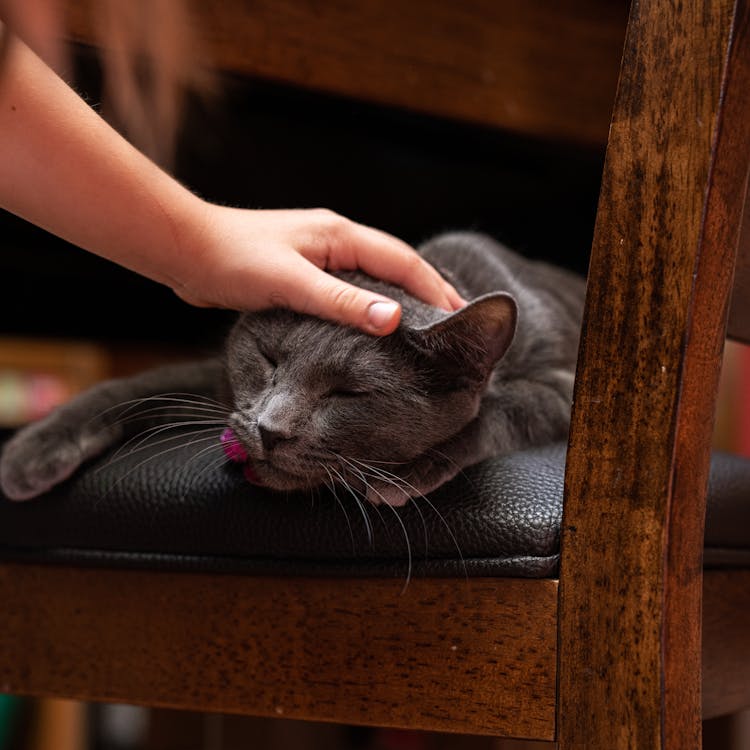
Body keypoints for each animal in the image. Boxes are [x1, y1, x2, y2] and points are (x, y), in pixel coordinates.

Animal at [0, 232, 588, 508]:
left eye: (348, 394)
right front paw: (30, 452)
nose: (269, 429)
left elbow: (499, 411)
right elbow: (137, 383)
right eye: (268, 359)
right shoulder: (217, 378)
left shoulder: (563, 391)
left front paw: (403, 474)